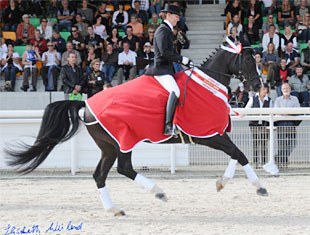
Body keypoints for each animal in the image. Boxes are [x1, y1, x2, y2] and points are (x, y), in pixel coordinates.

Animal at [4, 42, 266, 217]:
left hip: (108, 146)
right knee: (124, 168)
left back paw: (115, 209)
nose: (257, 85)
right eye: (248, 60)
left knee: (100, 175)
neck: (208, 83)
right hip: (123, 141)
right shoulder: (208, 135)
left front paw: (224, 183)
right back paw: (158, 192)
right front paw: (259, 187)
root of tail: (86, 105)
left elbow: (236, 154)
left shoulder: (214, 134)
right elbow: (239, 153)